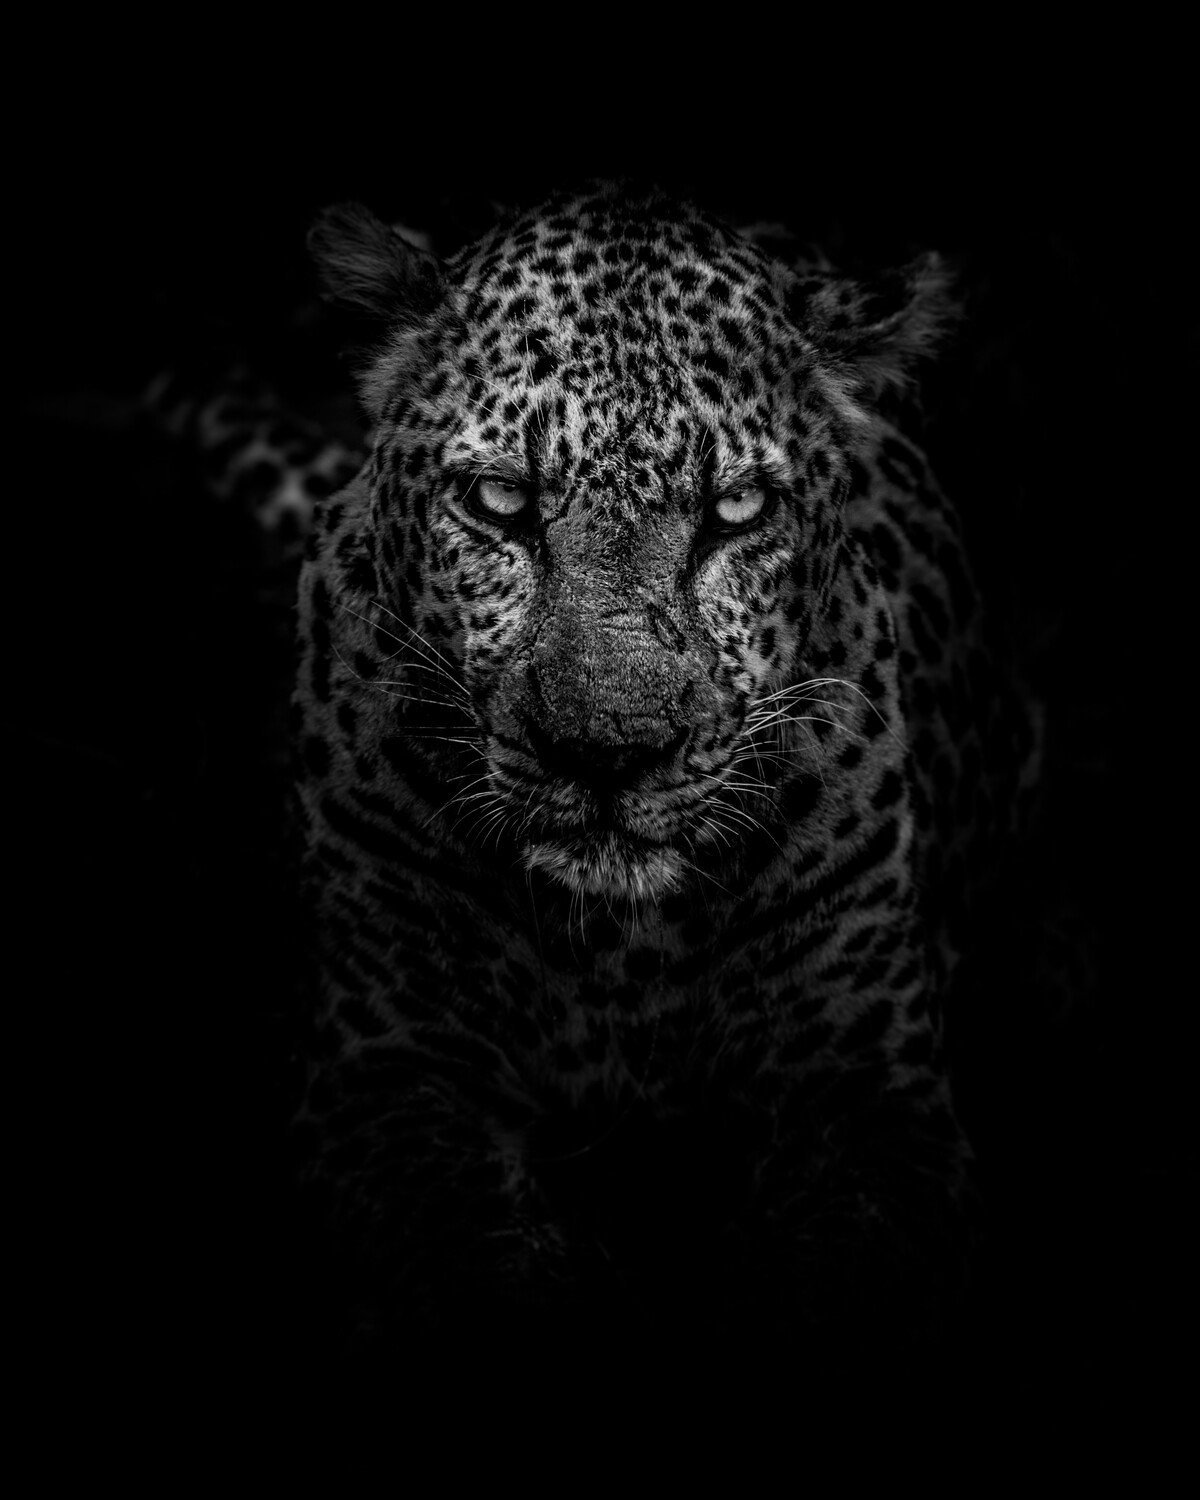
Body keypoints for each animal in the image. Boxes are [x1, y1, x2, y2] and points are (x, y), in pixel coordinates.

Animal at [182, 182, 1042, 1365]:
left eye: (736, 512)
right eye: (500, 501)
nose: (606, 751)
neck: (616, 950)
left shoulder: (870, 1097)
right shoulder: (388, 1074)